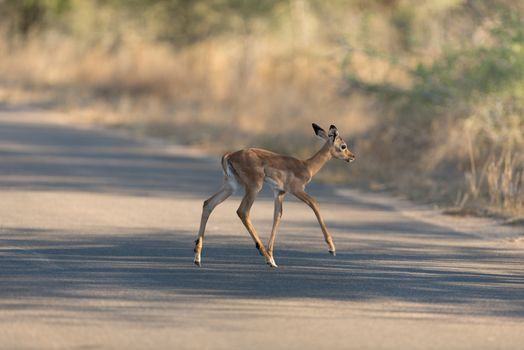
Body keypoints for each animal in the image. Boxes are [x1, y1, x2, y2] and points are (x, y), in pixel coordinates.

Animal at [193, 123, 356, 268]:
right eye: (343, 146)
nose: (352, 156)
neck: (306, 166)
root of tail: (229, 155)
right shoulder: (296, 190)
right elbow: (314, 203)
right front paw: (331, 248)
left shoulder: (279, 192)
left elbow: (277, 216)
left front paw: (272, 257)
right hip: (254, 187)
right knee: (242, 211)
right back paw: (264, 255)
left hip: (231, 186)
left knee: (208, 203)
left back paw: (198, 258)